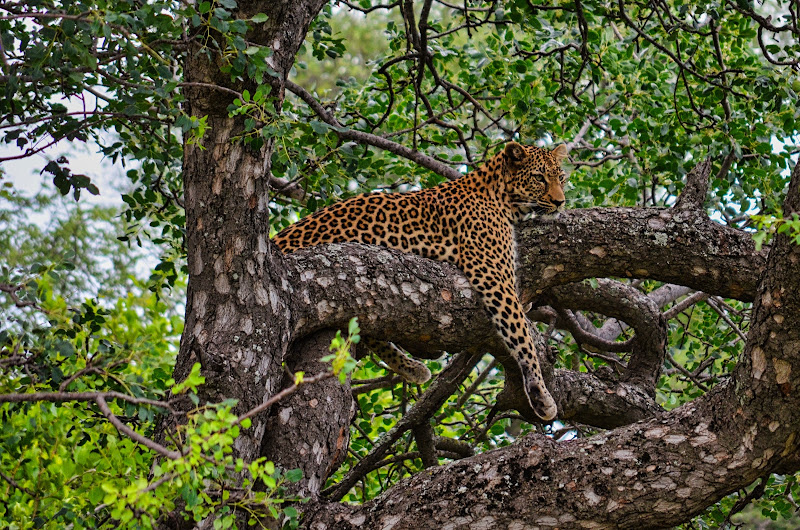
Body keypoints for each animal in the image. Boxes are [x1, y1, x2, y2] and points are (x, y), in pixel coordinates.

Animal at [276, 141, 568, 420]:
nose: (560, 202)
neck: (501, 198)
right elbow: (522, 336)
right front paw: (540, 394)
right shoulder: (492, 276)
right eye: (539, 177)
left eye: (561, 177)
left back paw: (413, 366)